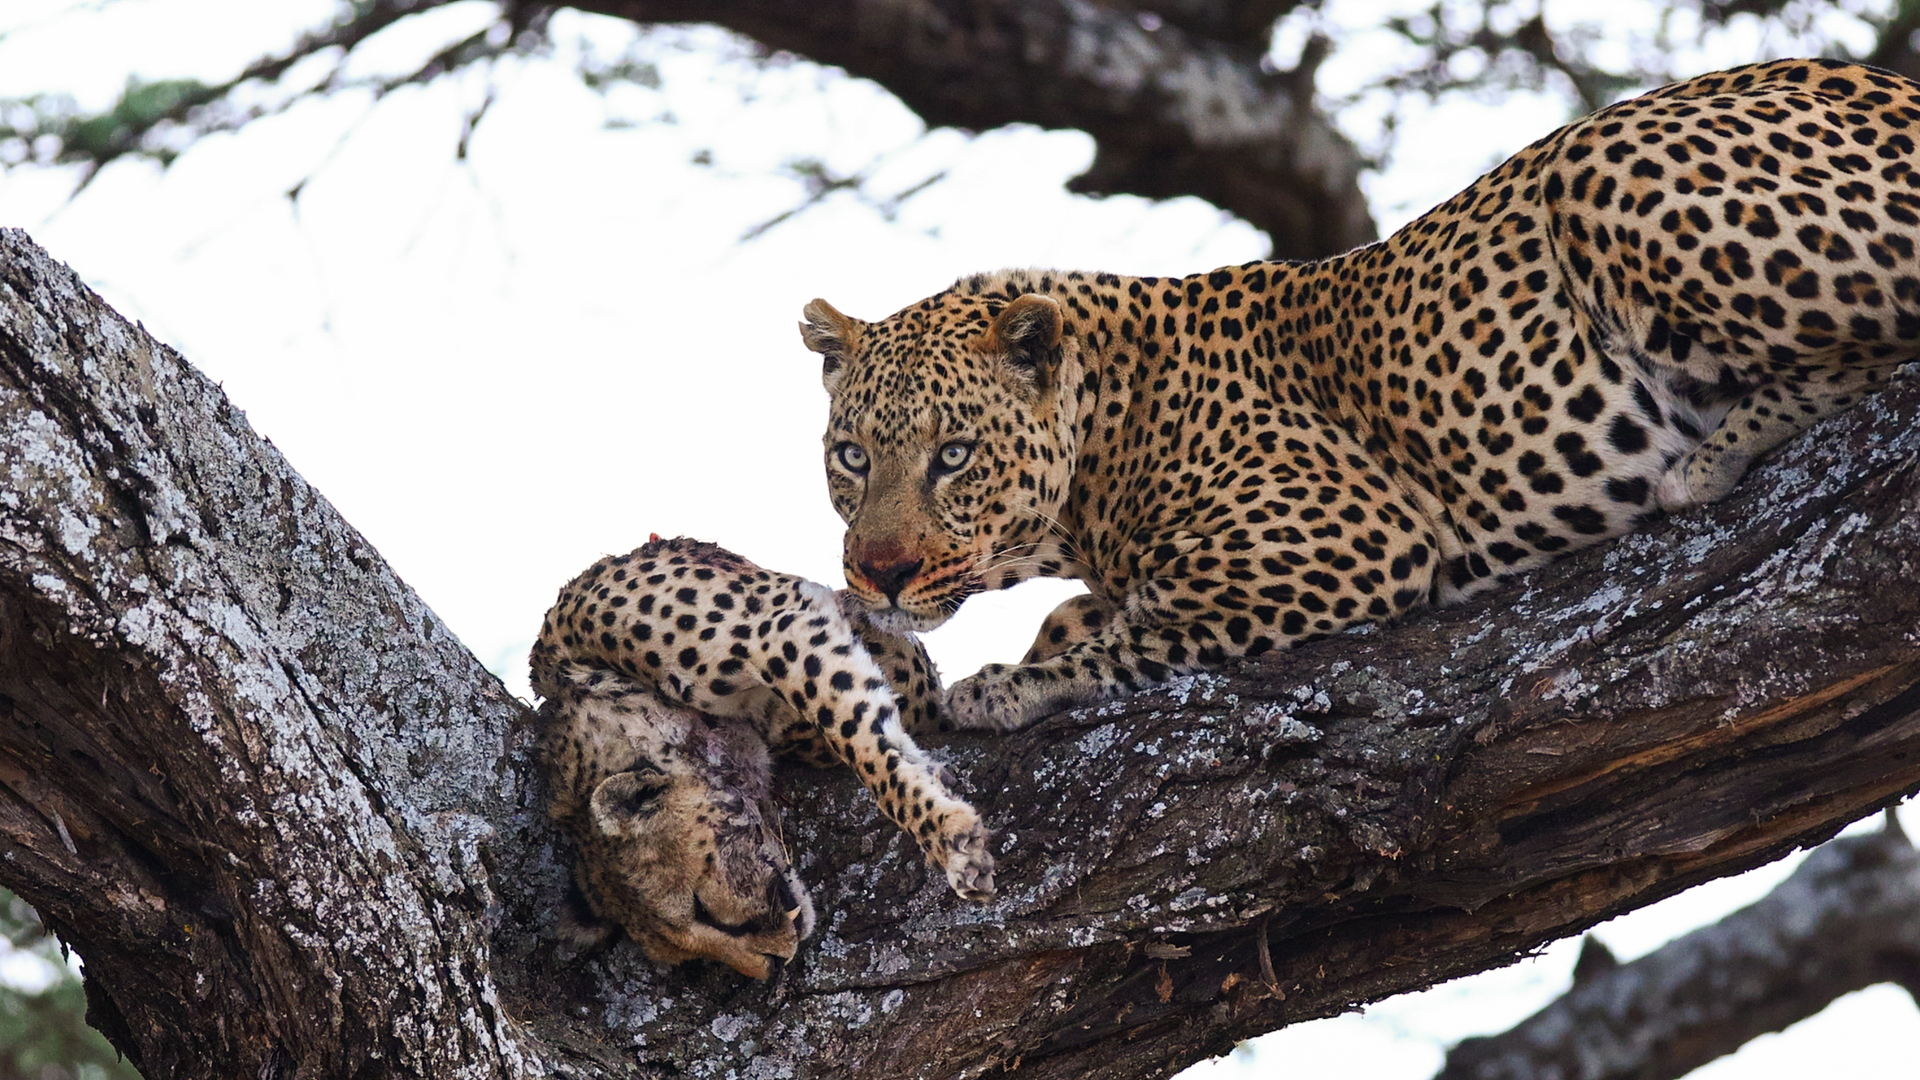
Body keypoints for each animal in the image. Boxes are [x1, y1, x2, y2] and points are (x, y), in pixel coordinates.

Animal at [537, 534, 998, 976]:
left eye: (701, 910)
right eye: (690, 956)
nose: (774, 966)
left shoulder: (775, 627)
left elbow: (857, 737)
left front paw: (944, 835)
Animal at [794, 61, 1920, 730]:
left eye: (954, 456)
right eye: (851, 458)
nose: (879, 575)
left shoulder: (1348, 533)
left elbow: (1150, 623)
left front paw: (999, 685)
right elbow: (1094, 612)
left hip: (1602, 159)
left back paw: (1705, 457)